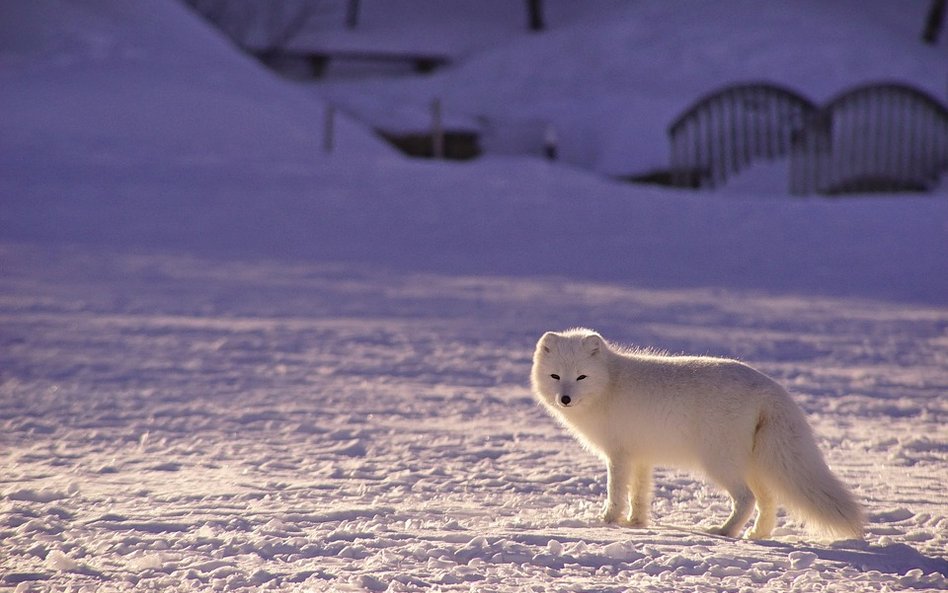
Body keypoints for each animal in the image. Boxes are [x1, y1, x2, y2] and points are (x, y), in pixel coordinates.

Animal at [528, 326, 864, 540]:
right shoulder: (641, 457)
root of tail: (771, 388)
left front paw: (608, 521)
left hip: (719, 462)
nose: (565, 399)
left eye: (581, 377)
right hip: (754, 464)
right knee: (768, 501)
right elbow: (640, 494)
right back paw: (757, 535)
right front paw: (637, 523)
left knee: (746, 499)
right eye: (555, 376)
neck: (610, 384)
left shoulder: (619, 455)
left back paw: (725, 532)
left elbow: (616, 492)